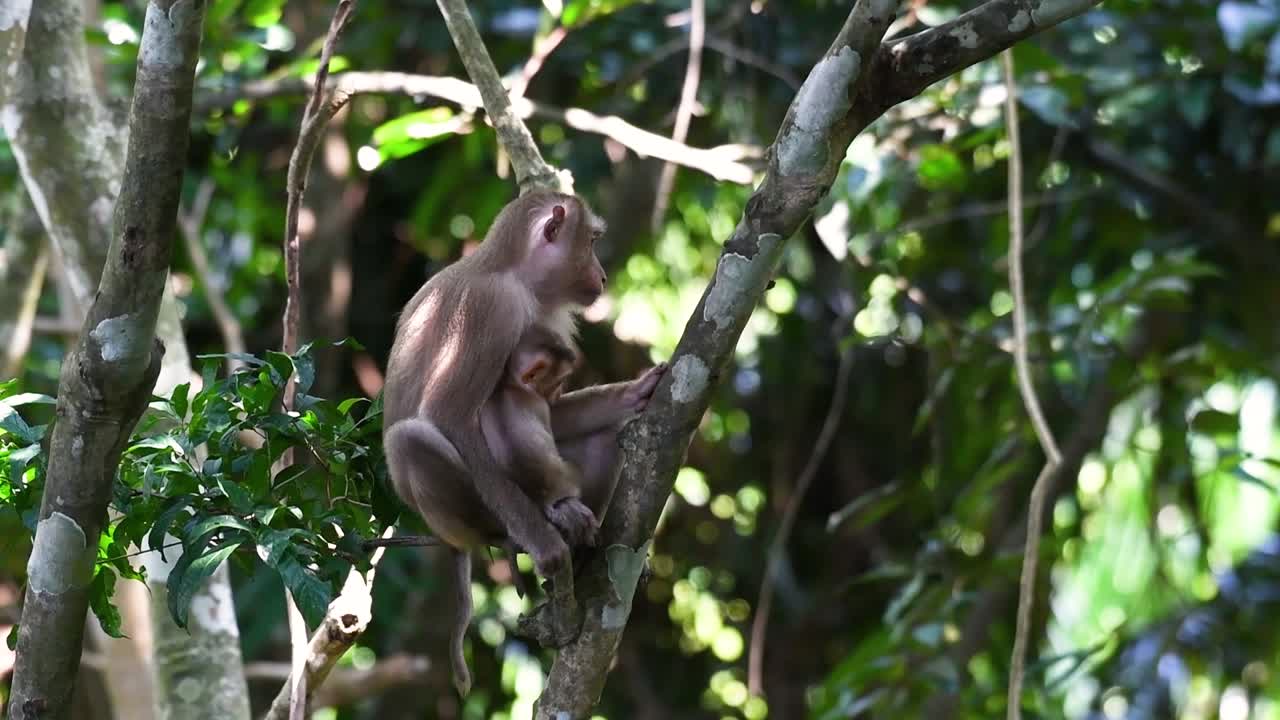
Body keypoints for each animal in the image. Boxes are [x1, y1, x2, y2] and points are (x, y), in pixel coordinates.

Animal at [381, 189, 668, 696]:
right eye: (591, 241)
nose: (601, 274)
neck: (512, 273)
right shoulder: (490, 310)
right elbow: (448, 416)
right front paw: (545, 543)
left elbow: (551, 412)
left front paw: (633, 393)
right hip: (471, 513)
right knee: (409, 439)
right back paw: (524, 531)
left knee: (603, 439)